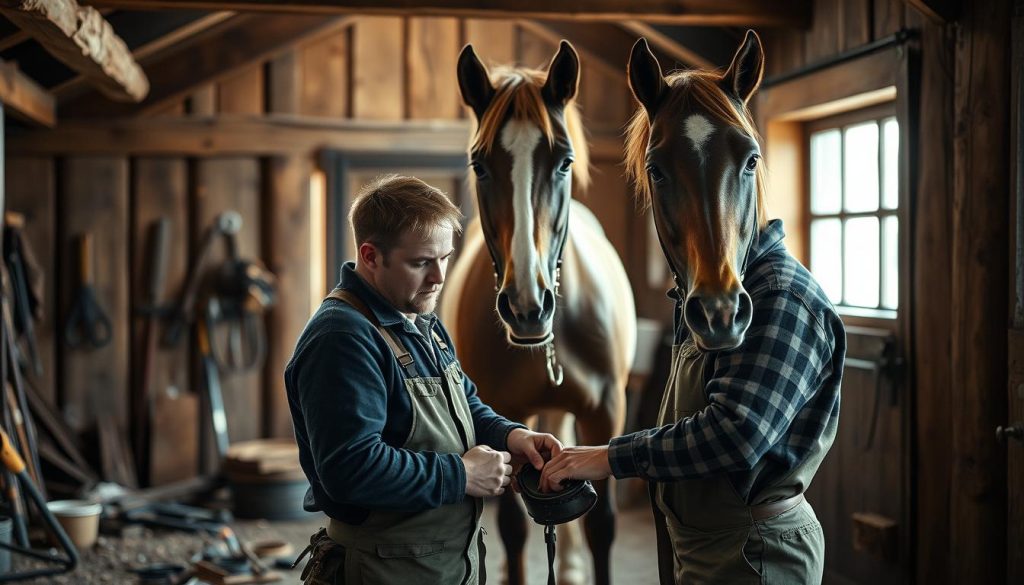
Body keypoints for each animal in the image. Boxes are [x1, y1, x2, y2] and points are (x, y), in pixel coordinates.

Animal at [442, 42, 634, 585]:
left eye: (564, 161)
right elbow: (512, 530)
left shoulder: (605, 411)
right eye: (479, 165)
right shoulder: (508, 417)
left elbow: (602, 525)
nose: (528, 306)